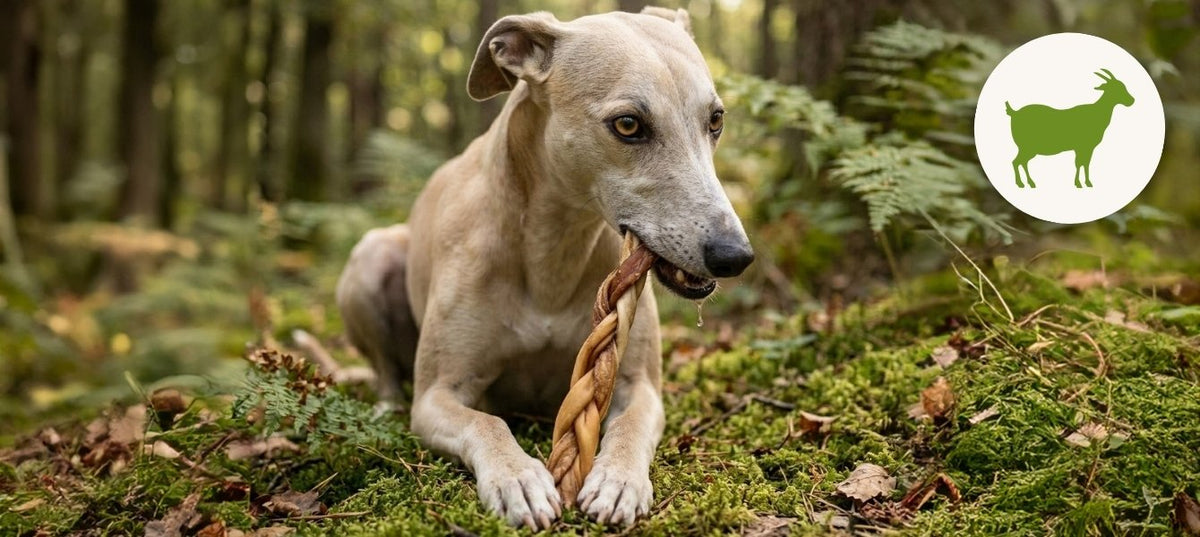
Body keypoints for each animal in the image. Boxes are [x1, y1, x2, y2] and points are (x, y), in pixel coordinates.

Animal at [1006, 68, 1135, 189]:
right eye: (1116, 88)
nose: (1132, 100)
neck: (1096, 113)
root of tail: (1014, 113)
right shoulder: (1083, 146)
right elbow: (1080, 163)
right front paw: (1080, 183)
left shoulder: (1085, 148)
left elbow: (1084, 163)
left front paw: (1085, 183)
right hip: (1027, 147)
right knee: (1017, 162)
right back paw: (1022, 183)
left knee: (1021, 162)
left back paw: (1030, 183)